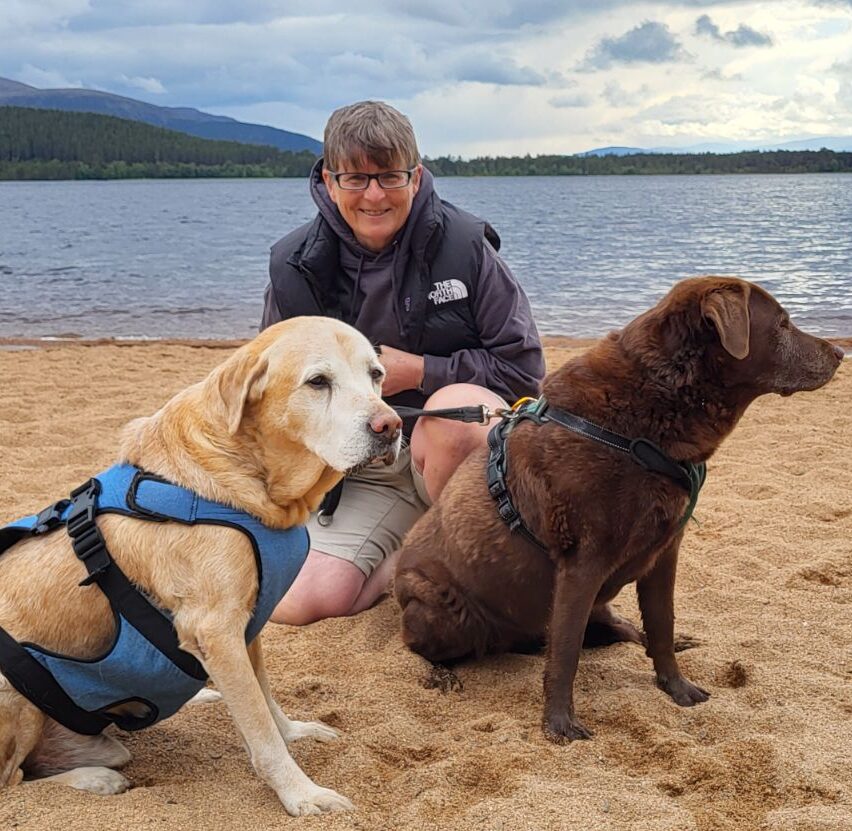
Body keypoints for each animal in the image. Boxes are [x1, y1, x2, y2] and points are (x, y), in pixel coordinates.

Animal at [0, 316, 401, 815]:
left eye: (376, 374)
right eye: (317, 382)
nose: (391, 425)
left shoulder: (246, 627)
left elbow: (266, 701)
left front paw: (296, 732)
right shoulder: (217, 630)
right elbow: (262, 732)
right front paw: (302, 793)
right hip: (12, 693)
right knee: (12, 781)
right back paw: (95, 779)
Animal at [395, 277, 843, 743]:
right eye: (783, 322)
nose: (839, 352)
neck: (643, 419)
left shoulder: (664, 552)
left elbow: (661, 624)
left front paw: (676, 687)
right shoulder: (581, 565)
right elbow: (566, 652)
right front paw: (559, 723)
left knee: (621, 629)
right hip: (444, 611)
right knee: (430, 643)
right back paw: (441, 674)